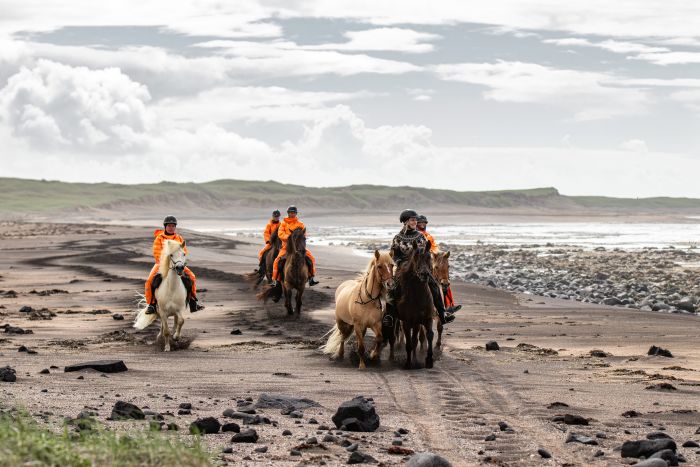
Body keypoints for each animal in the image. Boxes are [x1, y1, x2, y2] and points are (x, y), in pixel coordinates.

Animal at [396, 241, 434, 370]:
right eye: (416, 257)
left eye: (429, 257)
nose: (424, 274)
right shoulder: (407, 322)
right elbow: (408, 343)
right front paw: (408, 363)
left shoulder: (426, 319)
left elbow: (429, 335)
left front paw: (429, 360)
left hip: (417, 323)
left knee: (415, 339)